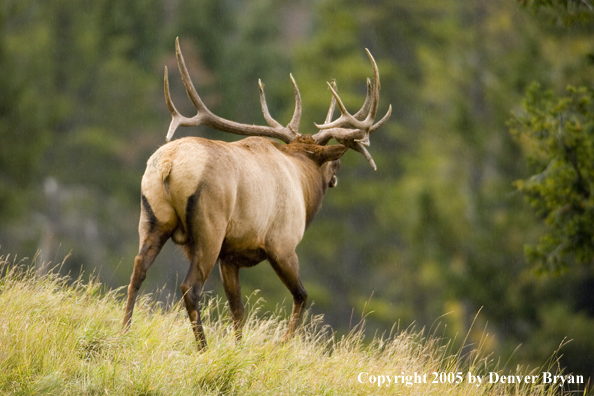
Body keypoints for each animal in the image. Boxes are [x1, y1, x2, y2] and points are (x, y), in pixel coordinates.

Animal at [121, 38, 388, 350]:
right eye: (334, 162)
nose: (335, 177)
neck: (303, 184)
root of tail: (168, 164)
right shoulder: (282, 244)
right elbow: (301, 295)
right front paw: (283, 345)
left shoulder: (230, 256)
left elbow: (238, 309)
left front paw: (239, 349)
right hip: (209, 229)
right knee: (190, 287)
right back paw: (203, 348)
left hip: (153, 218)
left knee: (137, 271)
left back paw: (124, 331)